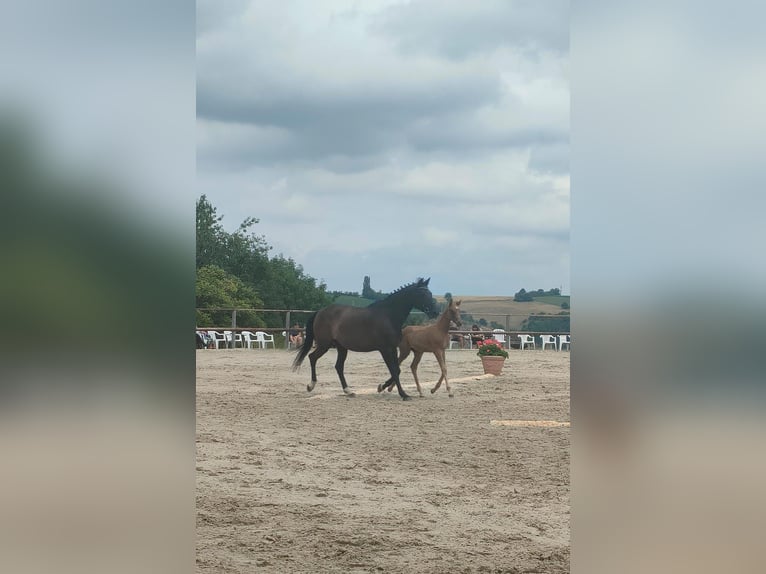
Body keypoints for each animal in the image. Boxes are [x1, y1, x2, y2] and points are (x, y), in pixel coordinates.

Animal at [292, 278, 438, 400]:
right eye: (422, 294)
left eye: (430, 293)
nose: (435, 312)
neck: (389, 315)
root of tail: (320, 312)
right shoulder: (385, 349)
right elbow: (394, 371)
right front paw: (403, 394)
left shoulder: (392, 349)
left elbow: (397, 370)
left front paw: (381, 387)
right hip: (324, 345)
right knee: (312, 357)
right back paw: (311, 385)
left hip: (341, 347)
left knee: (338, 366)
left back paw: (348, 391)